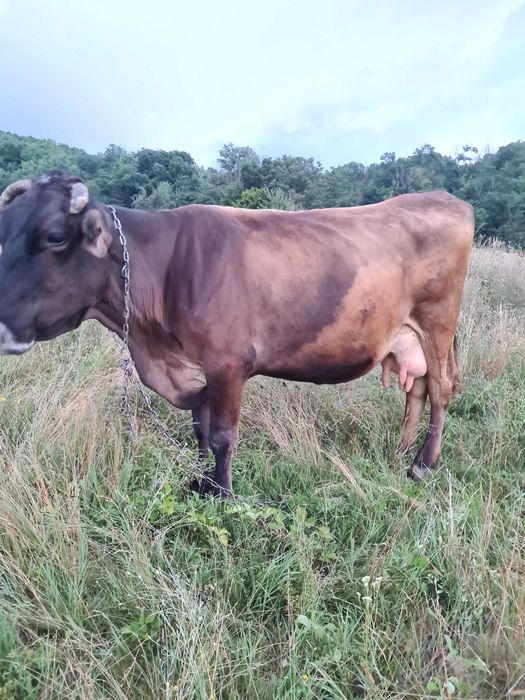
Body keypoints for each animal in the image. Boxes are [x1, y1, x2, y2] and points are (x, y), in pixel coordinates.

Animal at [0, 172, 474, 495]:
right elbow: (199, 429)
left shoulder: (227, 364)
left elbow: (223, 437)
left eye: (55, 236)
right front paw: (198, 480)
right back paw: (401, 452)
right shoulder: (193, 367)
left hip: (437, 323)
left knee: (441, 389)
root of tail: (448, 200)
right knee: (417, 389)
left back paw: (422, 464)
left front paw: (222, 494)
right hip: (407, 337)